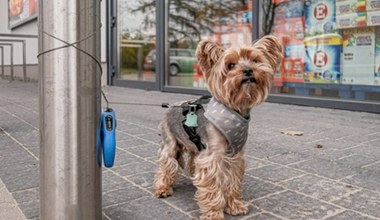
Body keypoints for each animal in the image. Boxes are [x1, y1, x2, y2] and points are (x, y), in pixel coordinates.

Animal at [154, 35, 282, 219]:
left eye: (255, 60)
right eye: (230, 65)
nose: (248, 70)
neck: (235, 109)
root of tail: (171, 106)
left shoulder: (235, 156)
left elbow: (233, 182)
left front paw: (234, 206)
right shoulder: (212, 156)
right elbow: (212, 187)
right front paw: (214, 214)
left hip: (195, 146)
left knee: (192, 161)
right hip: (169, 142)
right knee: (167, 164)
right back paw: (163, 188)